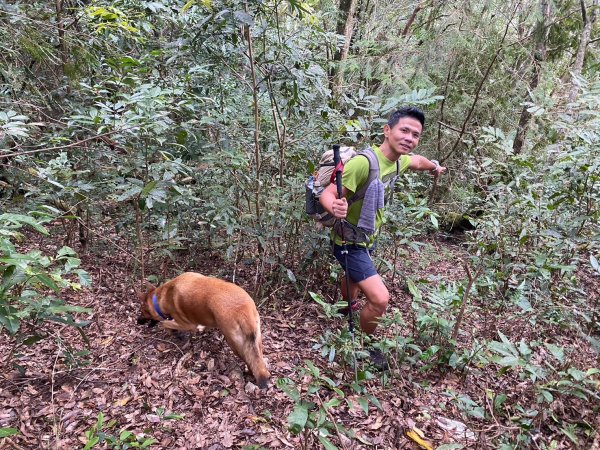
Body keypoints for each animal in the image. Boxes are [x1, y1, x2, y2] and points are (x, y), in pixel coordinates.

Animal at [137, 272, 270, 388]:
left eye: (142, 312)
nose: (137, 322)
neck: (162, 297)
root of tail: (243, 310)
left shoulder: (187, 325)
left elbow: (164, 323)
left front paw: (170, 331)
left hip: (234, 342)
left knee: (248, 360)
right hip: (256, 339)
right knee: (258, 359)